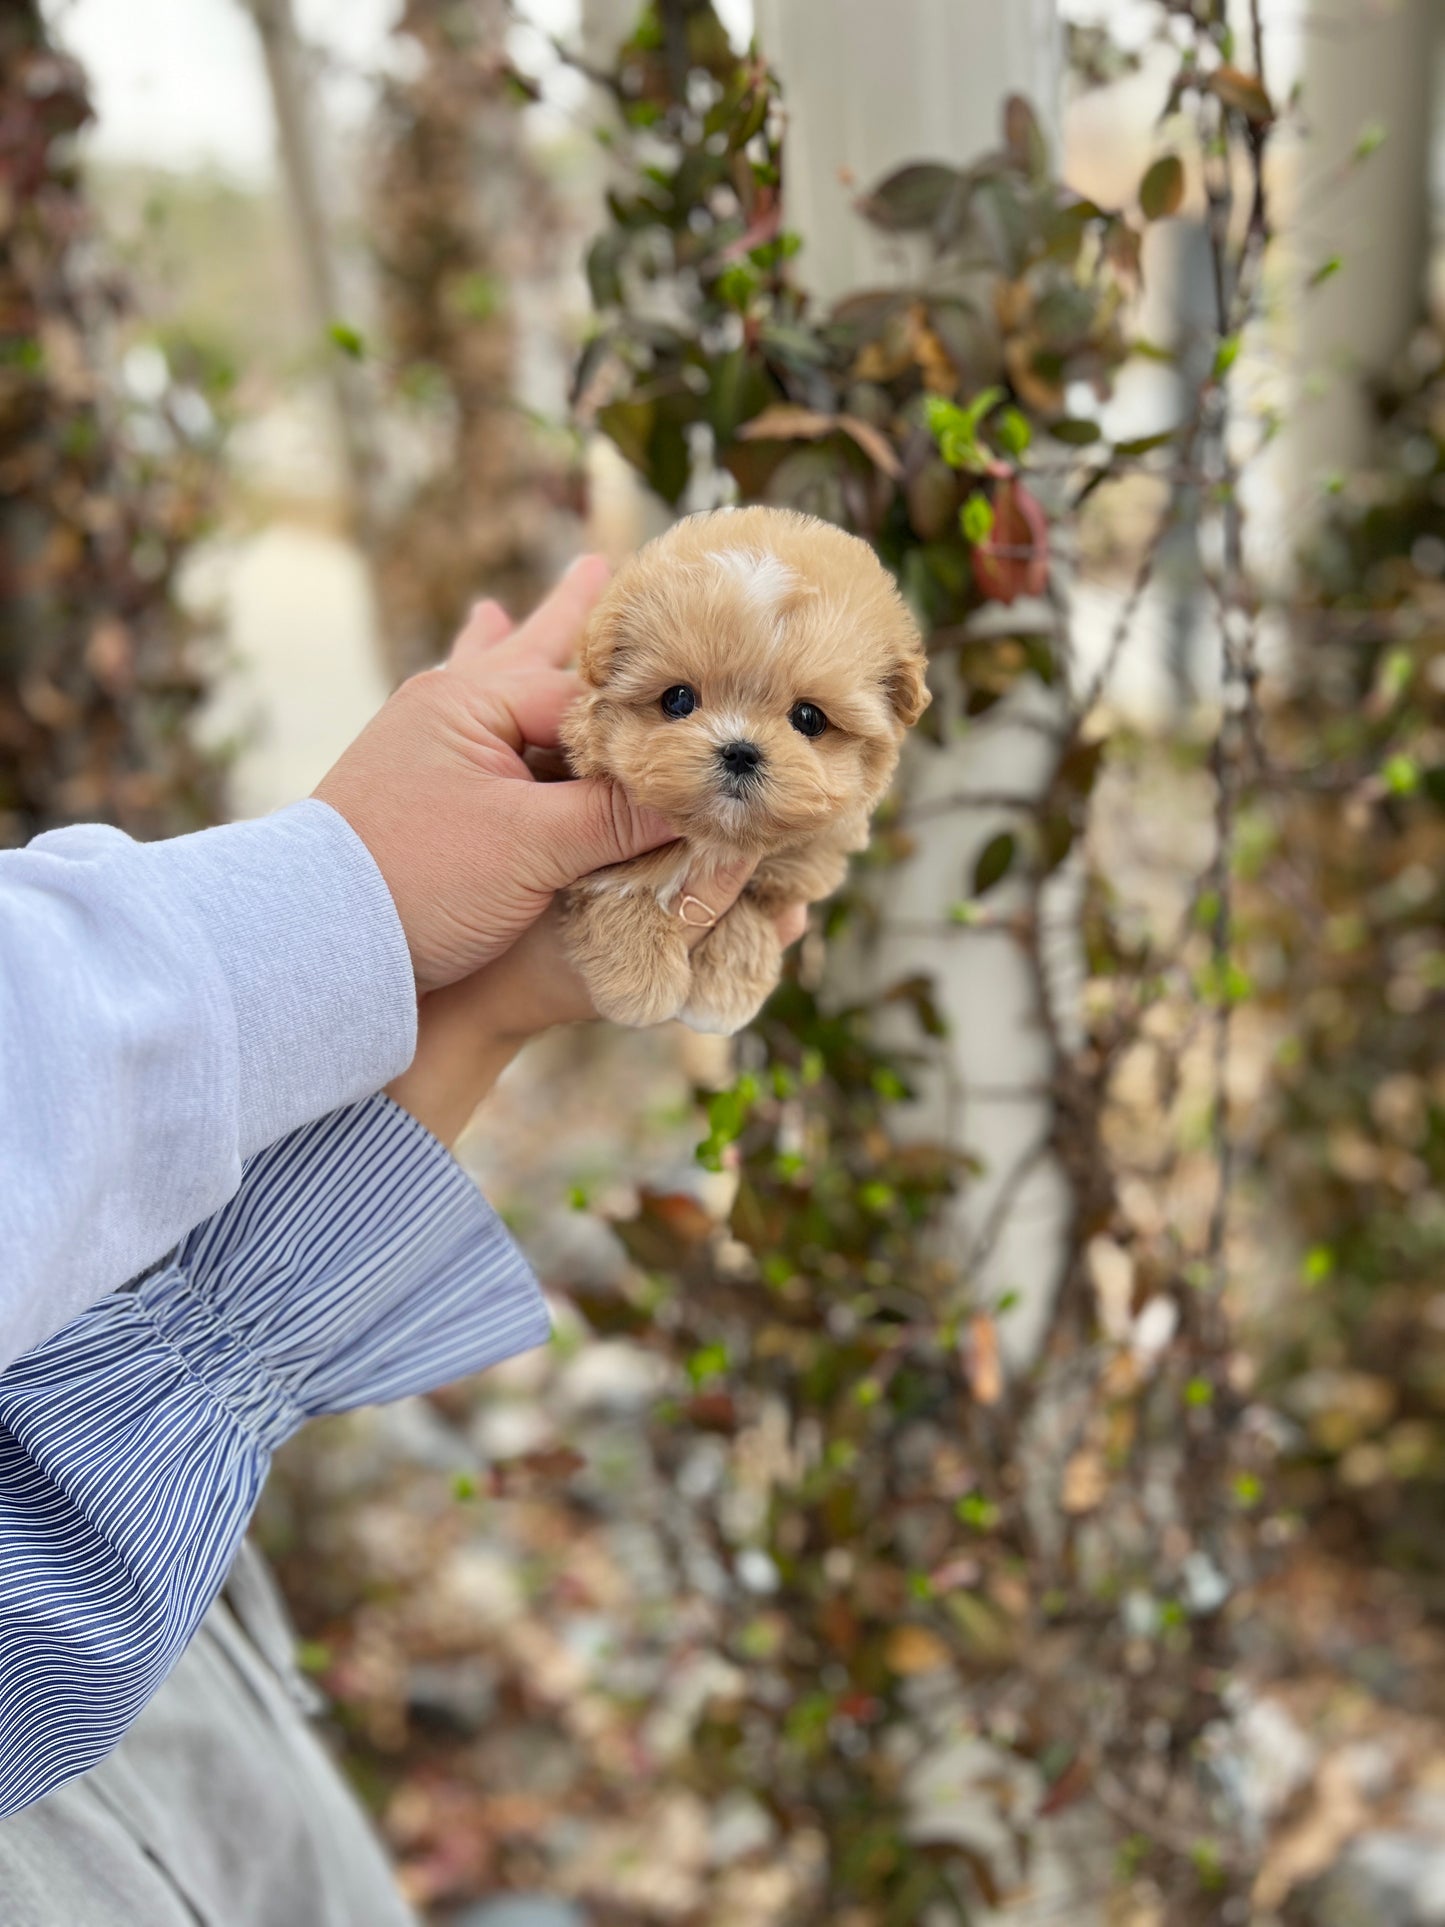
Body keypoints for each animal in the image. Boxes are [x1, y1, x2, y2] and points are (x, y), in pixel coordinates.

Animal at [558, 504, 932, 1032]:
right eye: (678, 700)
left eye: (809, 718)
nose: (739, 751)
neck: (719, 839)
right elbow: (617, 887)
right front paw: (642, 983)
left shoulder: (788, 873)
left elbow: (749, 912)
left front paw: (722, 996)